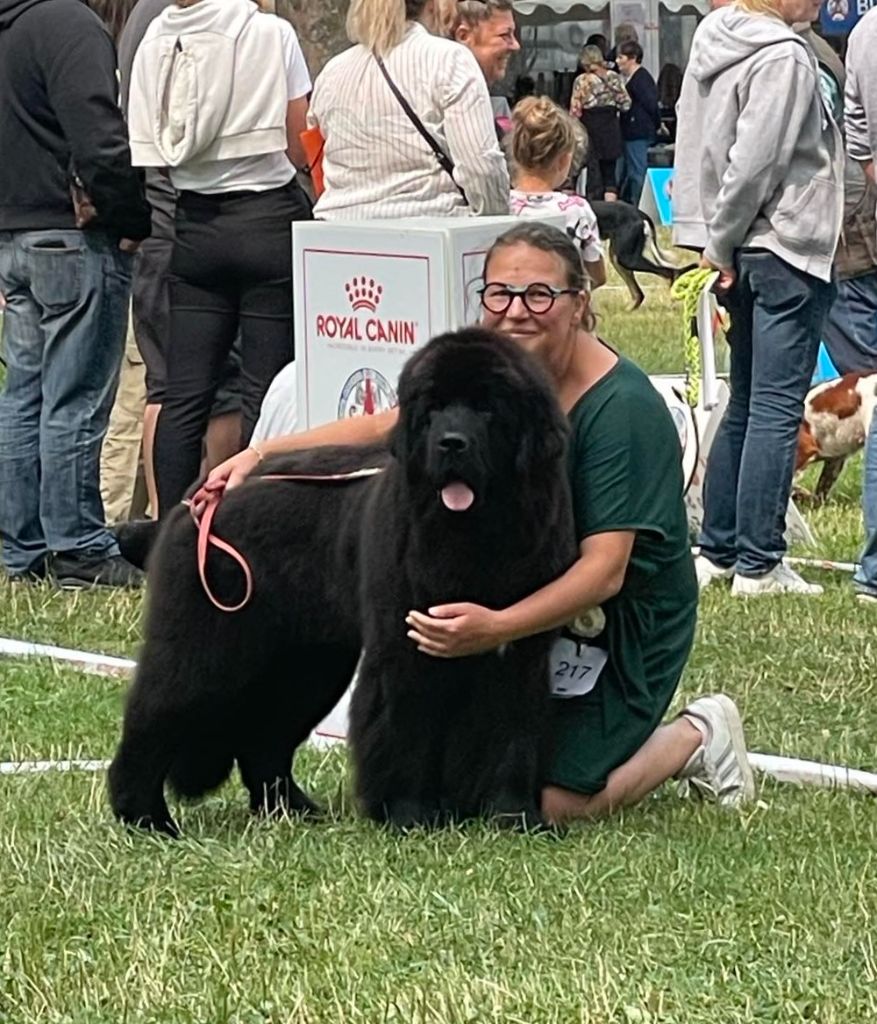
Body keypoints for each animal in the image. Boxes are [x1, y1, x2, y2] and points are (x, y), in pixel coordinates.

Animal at [108, 327, 573, 831]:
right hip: (207, 647)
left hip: (307, 661)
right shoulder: (403, 646)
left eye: (488, 407)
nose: (451, 443)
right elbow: (405, 730)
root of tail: (203, 492)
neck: (476, 535)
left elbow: (512, 735)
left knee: (265, 737)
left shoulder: (518, 648)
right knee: (156, 715)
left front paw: (514, 815)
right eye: (432, 409)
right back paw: (146, 817)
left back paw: (289, 807)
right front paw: (409, 813)